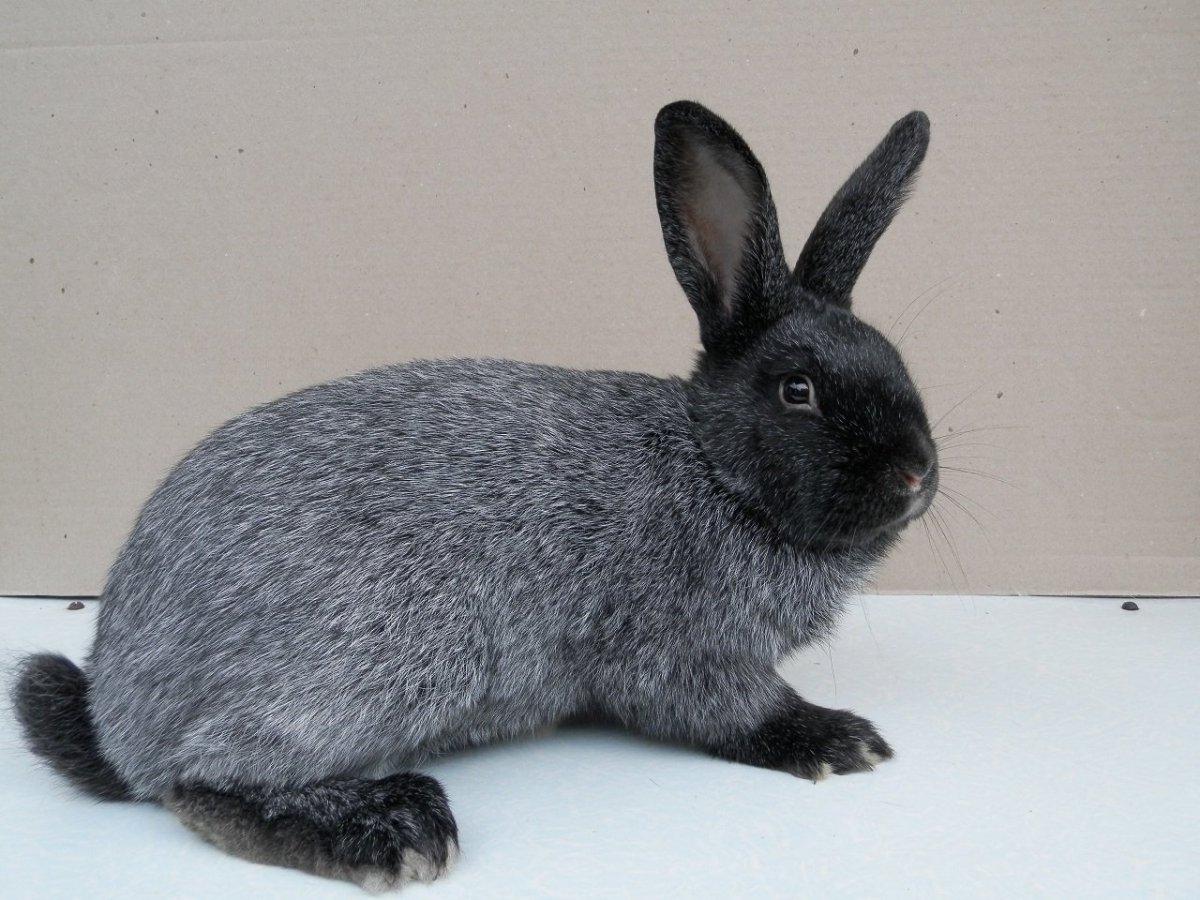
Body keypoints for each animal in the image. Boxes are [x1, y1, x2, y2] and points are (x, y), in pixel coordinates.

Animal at [13, 100, 936, 890]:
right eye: (797, 391)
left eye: (896, 361)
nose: (917, 474)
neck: (712, 470)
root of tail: (119, 714)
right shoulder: (681, 649)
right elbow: (736, 709)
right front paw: (839, 739)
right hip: (393, 652)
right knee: (200, 781)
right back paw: (390, 828)